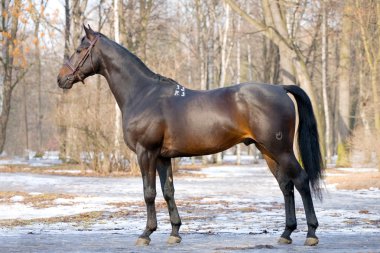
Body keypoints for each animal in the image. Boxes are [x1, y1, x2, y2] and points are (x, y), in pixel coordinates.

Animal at [57, 26, 324, 247]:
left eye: (80, 49)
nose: (61, 79)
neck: (143, 94)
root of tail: (280, 88)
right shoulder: (163, 157)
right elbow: (168, 191)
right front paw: (175, 232)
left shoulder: (146, 153)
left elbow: (149, 193)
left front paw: (146, 233)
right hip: (267, 151)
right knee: (286, 185)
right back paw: (286, 233)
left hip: (281, 150)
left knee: (301, 180)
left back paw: (311, 233)